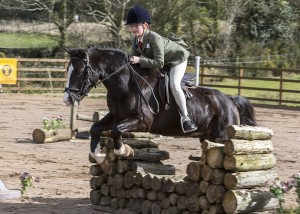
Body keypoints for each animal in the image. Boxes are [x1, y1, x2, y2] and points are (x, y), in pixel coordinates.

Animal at [63, 46, 258, 164]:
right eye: (68, 70)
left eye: (79, 71)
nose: (67, 99)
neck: (125, 85)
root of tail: (230, 99)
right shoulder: (116, 116)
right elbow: (95, 127)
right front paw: (97, 154)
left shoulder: (142, 121)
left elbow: (116, 130)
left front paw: (124, 151)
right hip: (206, 136)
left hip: (222, 135)